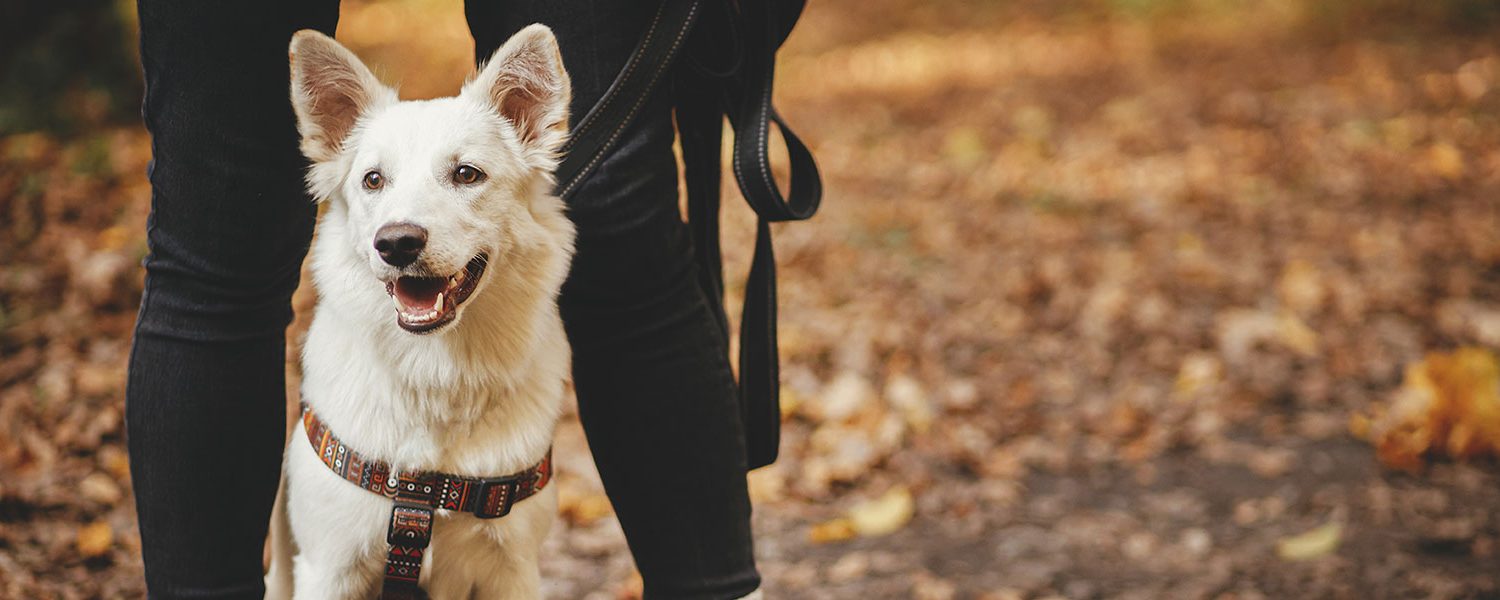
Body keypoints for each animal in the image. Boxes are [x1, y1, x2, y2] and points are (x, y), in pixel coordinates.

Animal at [264, 24, 573, 600]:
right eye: (373, 180)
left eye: (467, 174)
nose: (396, 243)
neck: (437, 373)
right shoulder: (329, 567)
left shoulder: (513, 569)